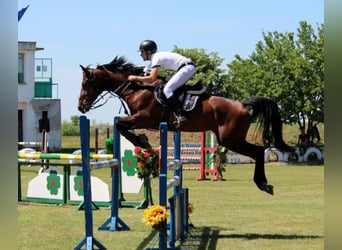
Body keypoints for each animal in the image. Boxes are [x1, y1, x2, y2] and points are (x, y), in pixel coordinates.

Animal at [77, 55, 292, 194]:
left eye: (86, 84)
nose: (81, 106)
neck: (137, 88)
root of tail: (242, 104)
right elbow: (122, 127)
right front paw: (145, 142)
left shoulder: (144, 118)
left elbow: (121, 126)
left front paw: (143, 143)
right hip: (231, 139)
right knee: (258, 151)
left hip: (230, 139)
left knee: (258, 151)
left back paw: (263, 184)